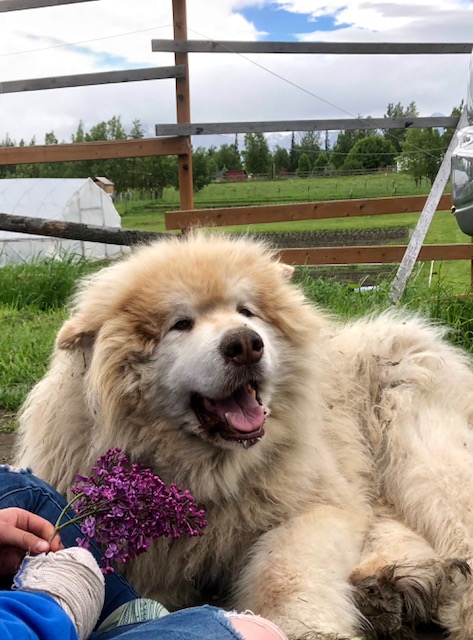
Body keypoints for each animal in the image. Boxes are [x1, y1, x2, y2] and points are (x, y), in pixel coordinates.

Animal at [13, 234, 473, 640]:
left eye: (246, 311)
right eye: (181, 323)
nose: (246, 344)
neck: (208, 474)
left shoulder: (317, 507)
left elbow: (283, 571)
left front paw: (306, 628)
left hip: (419, 453)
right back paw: (390, 583)